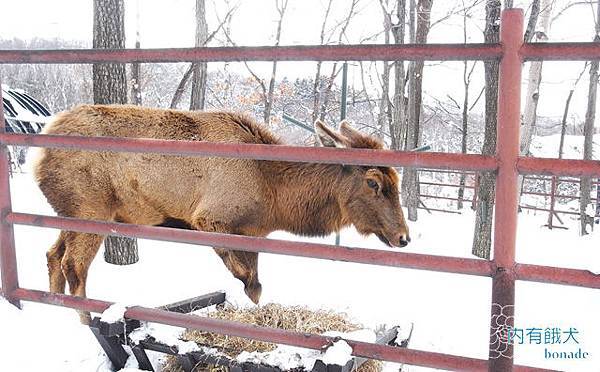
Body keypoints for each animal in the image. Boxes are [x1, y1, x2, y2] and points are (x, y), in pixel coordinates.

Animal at [35, 104, 410, 322]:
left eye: (396, 179)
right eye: (374, 182)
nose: (404, 237)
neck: (273, 191)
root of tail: (40, 153)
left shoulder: (253, 232)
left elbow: (255, 277)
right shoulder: (210, 220)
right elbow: (248, 278)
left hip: (71, 213)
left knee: (53, 255)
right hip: (91, 210)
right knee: (74, 266)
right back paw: (86, 322)